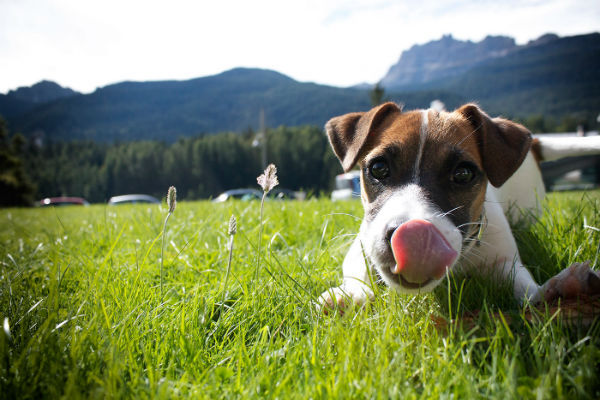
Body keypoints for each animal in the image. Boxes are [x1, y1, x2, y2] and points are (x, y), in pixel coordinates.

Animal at [318, 101, 600, 310]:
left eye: (463, 174)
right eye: (378, 168)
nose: (416, 235)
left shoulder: (505, 261)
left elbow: (526, 287)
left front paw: (556, 289)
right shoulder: (362, 244)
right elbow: (358, 274)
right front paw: (350, 295)